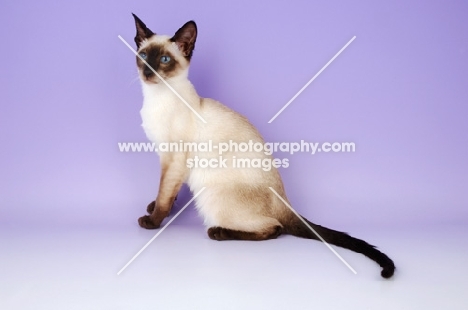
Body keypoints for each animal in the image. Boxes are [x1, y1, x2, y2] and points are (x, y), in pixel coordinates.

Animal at [131, 12, 394, 278]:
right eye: (143, 56)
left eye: (164, 60)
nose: (148, 72)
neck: (155, 98)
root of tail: (285, 202)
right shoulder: (169, 160)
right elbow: (168, 192)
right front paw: (155, 207)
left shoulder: (174, 158)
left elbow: (165, 194)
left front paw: (152, 220)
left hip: (212, 196)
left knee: (275, 228)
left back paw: (218, 232)